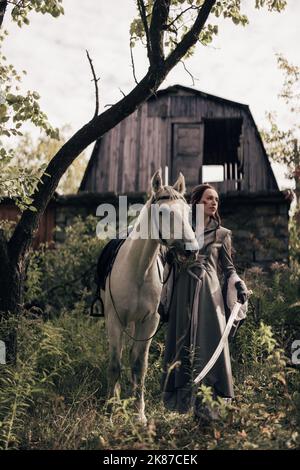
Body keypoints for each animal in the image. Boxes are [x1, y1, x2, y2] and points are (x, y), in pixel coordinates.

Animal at [101, 169, 199, 422]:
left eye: (187, 212)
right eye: (163, 212)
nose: (192, 250)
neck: (138, 269)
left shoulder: (149, 322)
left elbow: (139, 366)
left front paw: (139, 414)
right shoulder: (114, 320)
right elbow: (114, 365)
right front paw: (110, 411)